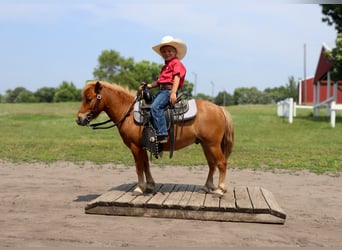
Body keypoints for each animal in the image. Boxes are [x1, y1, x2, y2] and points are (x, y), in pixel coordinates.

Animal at [76, 81, 234, 196]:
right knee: (212, 164)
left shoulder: (135, 147)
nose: (79, 119)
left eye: (89, 99)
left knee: (221, 163)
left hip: (212, 144)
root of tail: (219, 108)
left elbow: (139, 167)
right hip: (205, 144)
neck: (128, 113)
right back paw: (207, 187)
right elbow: (146, 165)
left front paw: (139, 188)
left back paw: (220, 189)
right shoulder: (143, 146)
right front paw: (150, 185)